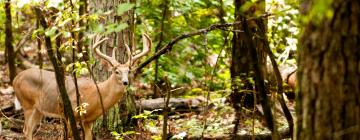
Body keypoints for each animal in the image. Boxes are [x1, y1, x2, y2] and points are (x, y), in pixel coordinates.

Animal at [13, 33, 152, 139]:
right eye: (116, 71)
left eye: (129, 71)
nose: (125, 82)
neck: (96, 94)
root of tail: (15, 79)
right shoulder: (71, 114)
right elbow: (68, 137)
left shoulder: (89, 121)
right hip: (27, 103)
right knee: (26, 130)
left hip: (39, 109)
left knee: (29, 131)